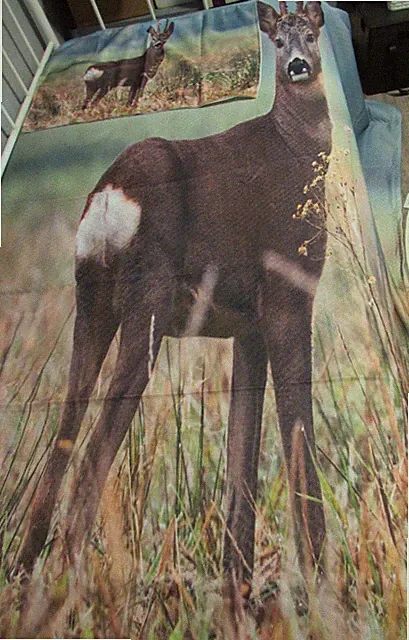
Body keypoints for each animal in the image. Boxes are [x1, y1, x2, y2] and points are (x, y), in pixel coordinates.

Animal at [19, 1, 332, 597]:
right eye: (278, 39)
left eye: (311, 31)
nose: (299, 66)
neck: (294, 148)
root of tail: (110, 194)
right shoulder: (290, 297)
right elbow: (296, 429)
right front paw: (326, 589)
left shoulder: (247, 328)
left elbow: (241, 459)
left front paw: (238, 594)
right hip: (148, 310)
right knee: (90, 464)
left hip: (93, 307)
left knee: (59, 449)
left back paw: (26, 588)